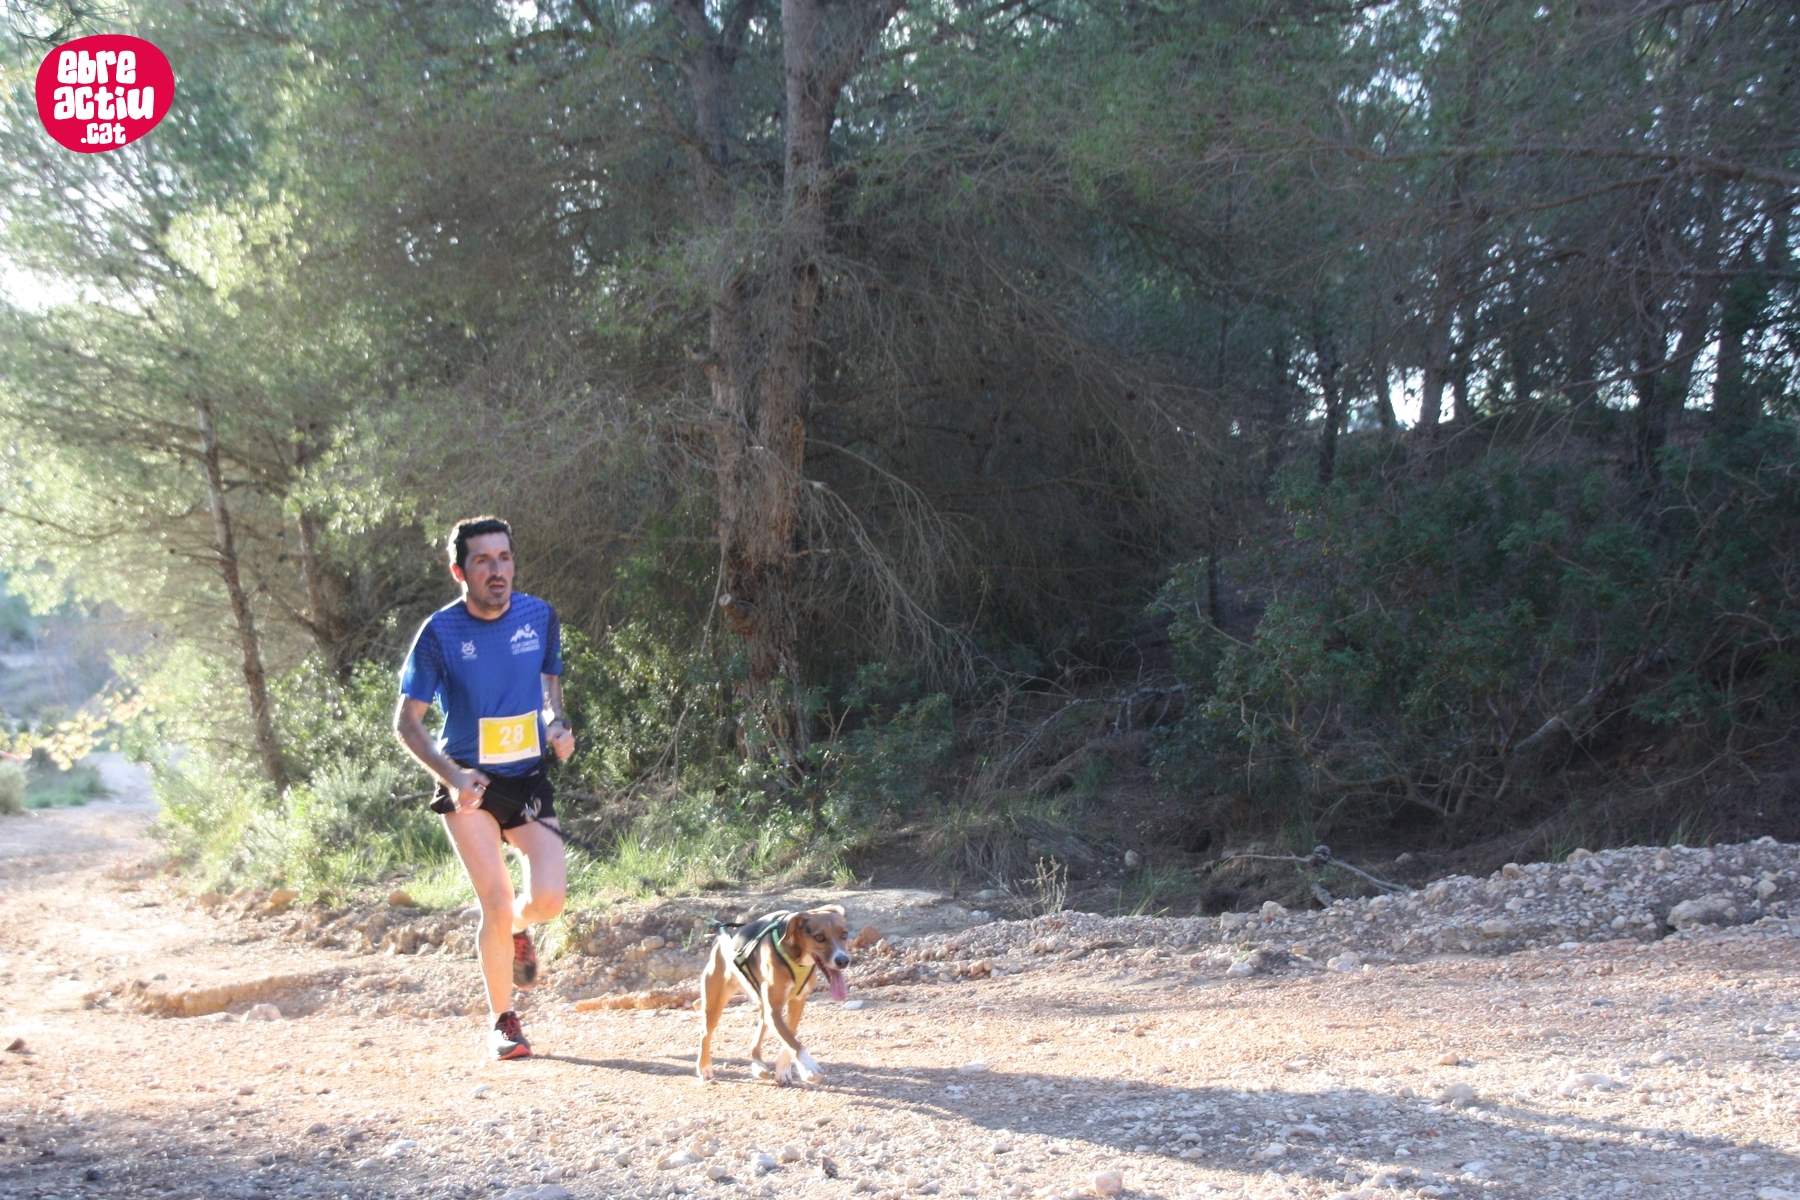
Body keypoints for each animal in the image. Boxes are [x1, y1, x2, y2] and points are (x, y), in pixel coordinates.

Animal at [695, 905, 851, 1084]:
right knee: (705, 1035)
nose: (843, 960)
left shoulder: (796, 1003)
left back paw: (758, 1066)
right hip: (714, 1005)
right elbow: (793, 1043)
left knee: (755, 1043)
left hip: (763, 1007)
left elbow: (789, 1040)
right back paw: (704, 1067)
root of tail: (720, 941)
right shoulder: (774, 1010)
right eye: (819, 937)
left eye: (844, 934)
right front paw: (809, 1068)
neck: (796, 957)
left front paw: (783, 1071)